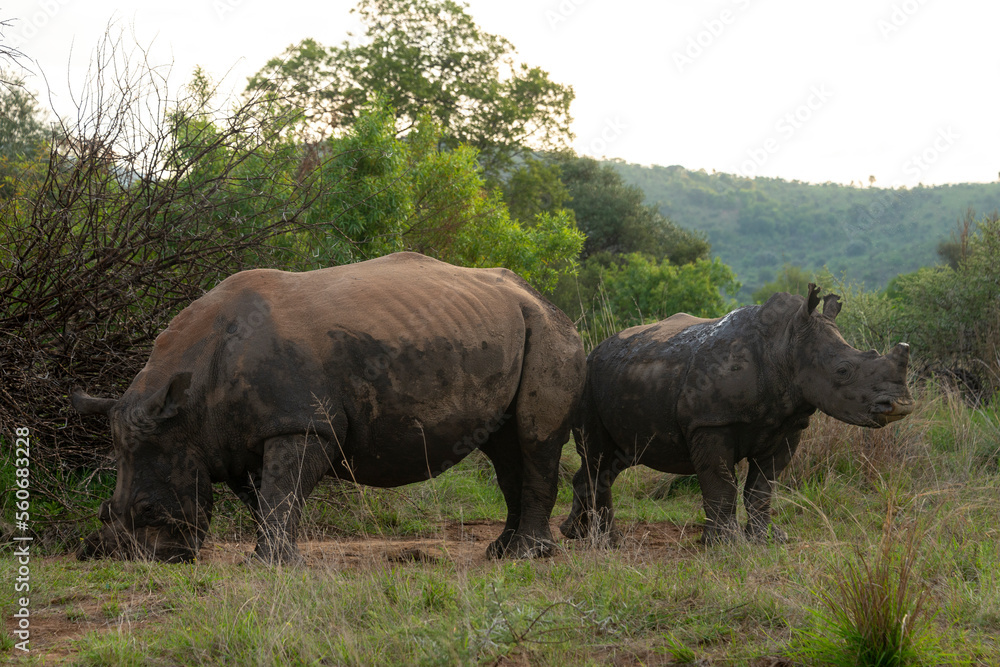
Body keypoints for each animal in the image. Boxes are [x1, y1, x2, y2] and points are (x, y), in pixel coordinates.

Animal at [72, 252, 584, 564]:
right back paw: (500, 551)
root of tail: (546, 299)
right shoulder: (236, 440)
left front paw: (272, 566)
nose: (139, 559)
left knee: (533, 439)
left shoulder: (304, 425)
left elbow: (282, 492)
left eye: (148, 511)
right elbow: (264, 498)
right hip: (503, 331)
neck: (190, 406)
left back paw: (527, 556)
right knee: (504, 449)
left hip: (549, 332)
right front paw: (270, 558)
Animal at [564, 284, 916, 544]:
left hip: (619, 376)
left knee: (612, 460)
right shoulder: (710, 423)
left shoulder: (788, 426)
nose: (900, 406)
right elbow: (722, 485)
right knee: (598, 457)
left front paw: (768, 539)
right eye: (843, 371)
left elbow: (762, 487)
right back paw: (607, 542)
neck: (785, 346)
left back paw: (576, 535)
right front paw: (724, 545)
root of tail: (595, 349)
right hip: (587, 381)